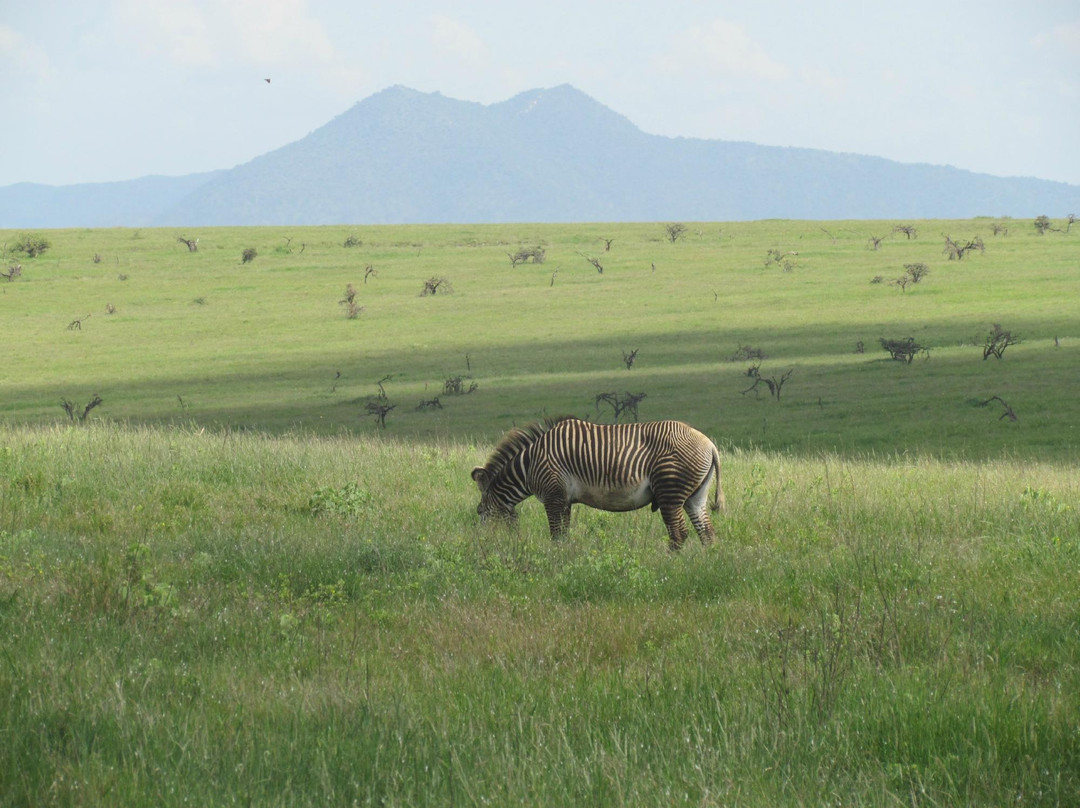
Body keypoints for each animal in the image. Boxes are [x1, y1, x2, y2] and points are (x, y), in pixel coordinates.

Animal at [470, 416, 725, 548]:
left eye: (480, 512)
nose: (482, 543)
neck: (530, 464)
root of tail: (709, 444)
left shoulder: (553, 497)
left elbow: (556, 535)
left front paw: (555, 563)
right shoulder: (564, 500)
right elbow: (564, 535)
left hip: (669, 492)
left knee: (679, 533)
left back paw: (669, 564)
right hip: (695, 496)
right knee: (707, 533)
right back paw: (705, 566)